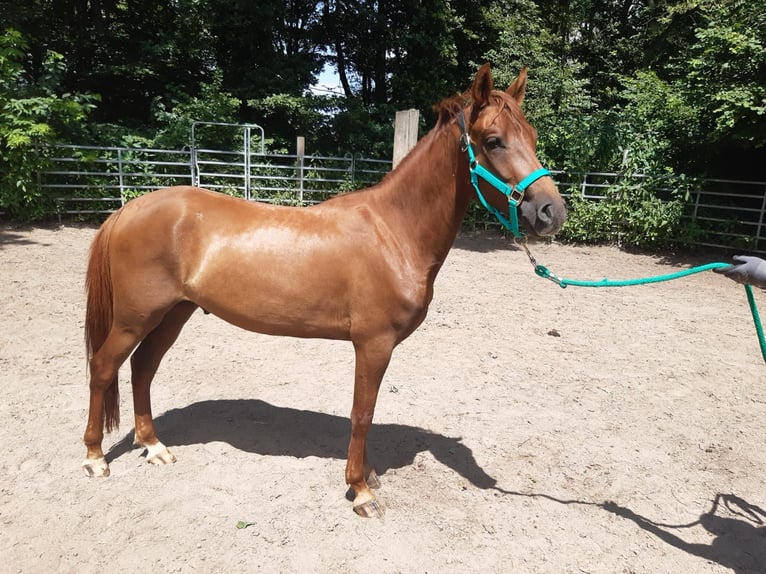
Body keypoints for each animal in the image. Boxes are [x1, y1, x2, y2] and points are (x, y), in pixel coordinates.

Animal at [82, 63, 567, 517]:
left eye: (531, 135)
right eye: (493, 140)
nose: (551, 212)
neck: (393, 233)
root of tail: (128, 210)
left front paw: (367, 474)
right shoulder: (373, 344)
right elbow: (362, 414)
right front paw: (361, 490)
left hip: (173, 313)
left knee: (142, 369)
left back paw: (153, 447)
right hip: (135, 317)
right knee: (105, 367)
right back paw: (94, 457)